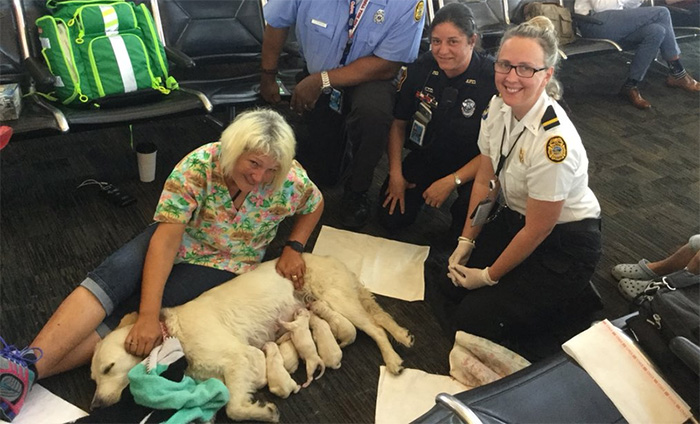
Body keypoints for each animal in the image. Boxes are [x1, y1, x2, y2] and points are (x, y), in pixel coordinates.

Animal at [90, 253, 412, 422]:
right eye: (93, 378)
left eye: (108, 368)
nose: (94, 405)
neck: (174, 334)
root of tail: (332, 259)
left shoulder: (239, 357)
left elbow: (233, 408)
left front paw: (264, 411)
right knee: (380, 318)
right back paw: (403, 336)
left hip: (337, 299)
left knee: (376, 328)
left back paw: (393, 359)